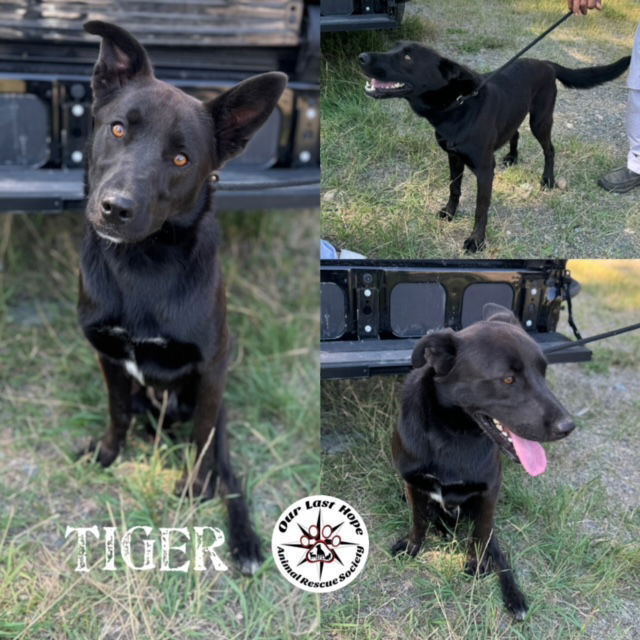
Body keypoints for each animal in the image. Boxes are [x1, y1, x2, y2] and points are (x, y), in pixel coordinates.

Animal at [77, 21, 284, 576]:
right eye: (118, 129)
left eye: (180, 159)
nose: (116, 208)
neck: (142, 265)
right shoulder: (109, 358)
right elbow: (117, 412)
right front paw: (108, 455)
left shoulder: (210, 370)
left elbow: (202, 445)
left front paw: (193, 489)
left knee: (225, 466)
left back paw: (244, 541)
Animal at [360, 42, 632, 252]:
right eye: (393, 47)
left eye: (407, 56)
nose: (361, 57)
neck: (458, 105)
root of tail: (546, 63)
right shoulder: (453, 157)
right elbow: (454, 188)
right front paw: (450, 213)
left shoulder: (484, 169)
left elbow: (481, 208)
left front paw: (476, 241)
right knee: (515, 133)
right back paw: (512, 157)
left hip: (540, 120)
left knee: (550, 149)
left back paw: (548, 180)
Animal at [390, 304, 576, 620]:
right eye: (508, 380)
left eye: (543, 372)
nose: (569, 426)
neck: (453, 435)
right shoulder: (413, 484)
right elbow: (418, 520)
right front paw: (413, 546)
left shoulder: (489, 494)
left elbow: (479, 537)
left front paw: (476, 566)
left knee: (494, 545)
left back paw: (514, 597)